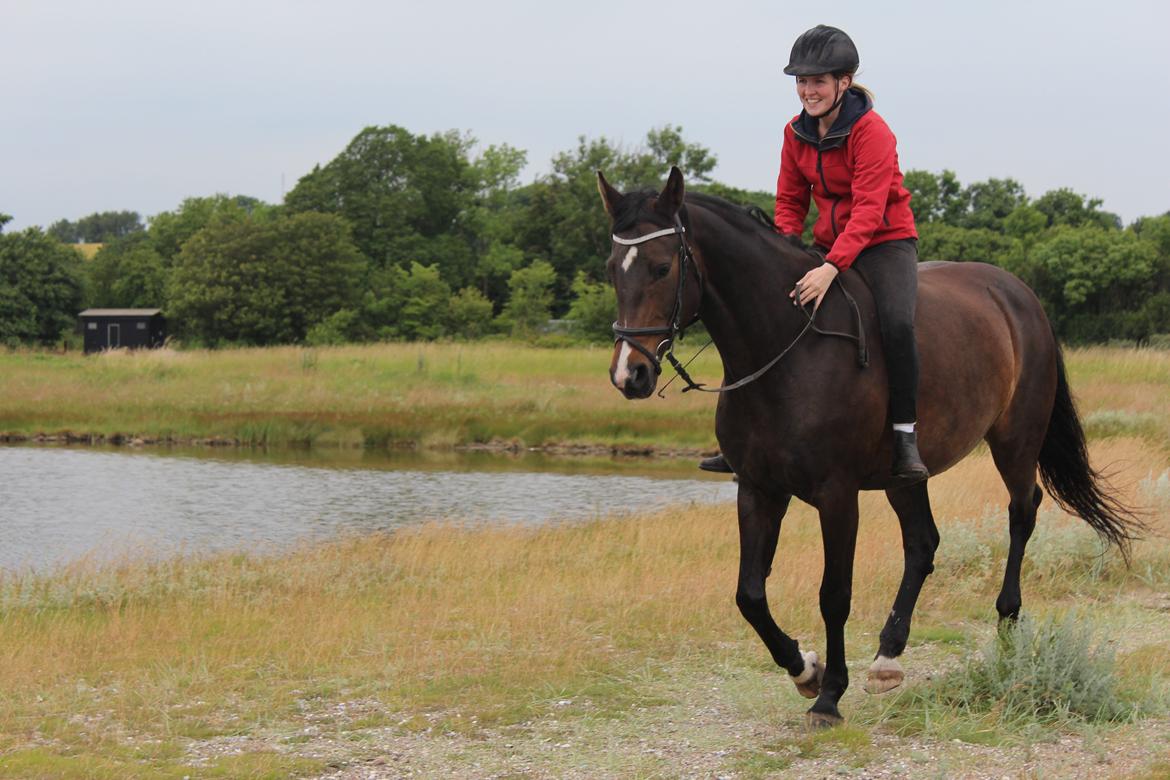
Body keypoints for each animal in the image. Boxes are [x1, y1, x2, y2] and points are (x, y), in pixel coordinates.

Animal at [599, 168, 1137, 729]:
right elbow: (750, 594)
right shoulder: (758, 489)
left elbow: (834, 594)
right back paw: (888, 655)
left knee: (1021, 511)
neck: (786, 347)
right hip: (907, 475)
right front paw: (804, 669)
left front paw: (829, 696)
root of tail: (1019, 294)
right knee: (923, 543)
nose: (629, 374)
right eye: (613, 269)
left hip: (1014, 440)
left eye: (663, 267)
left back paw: (1007, 622)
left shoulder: (837, 496)